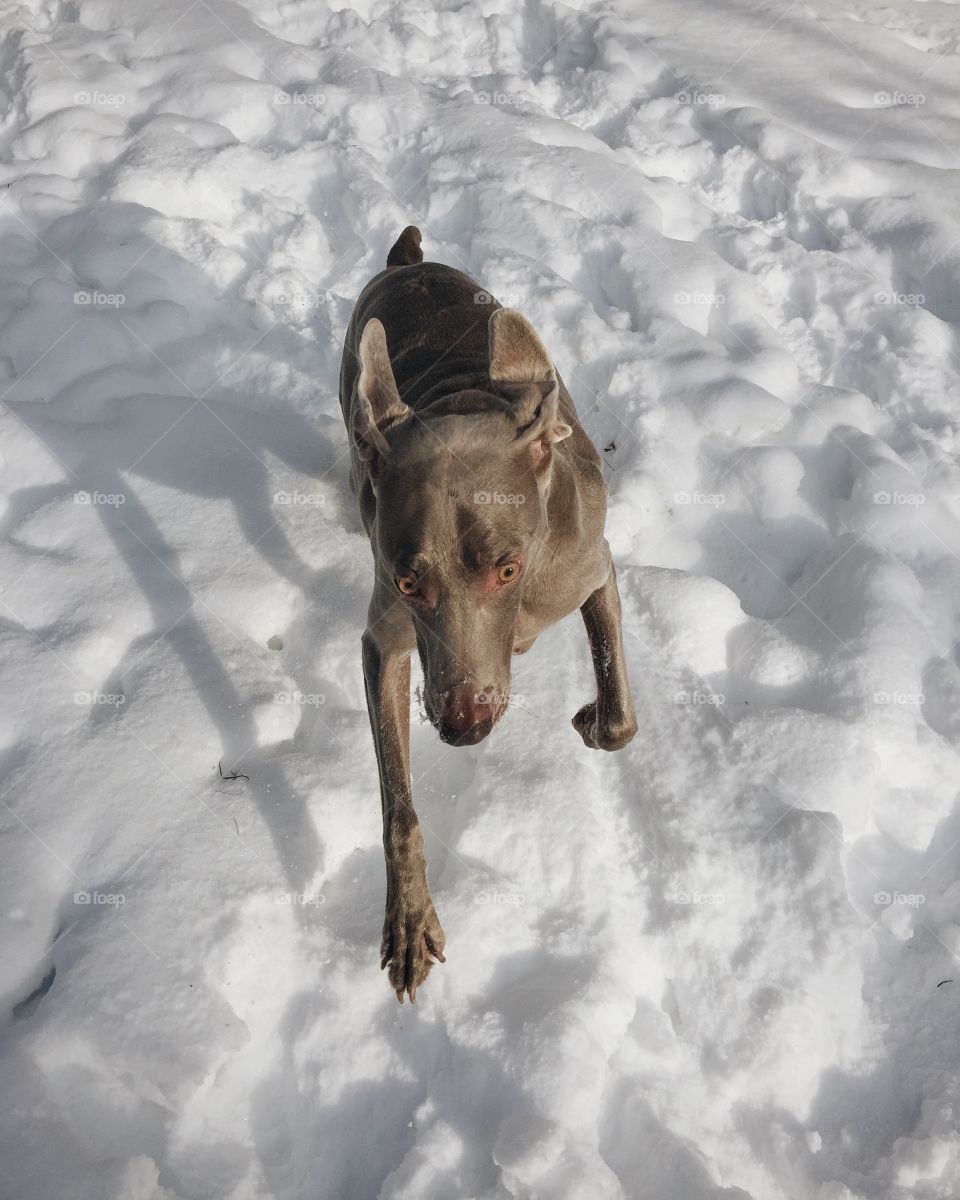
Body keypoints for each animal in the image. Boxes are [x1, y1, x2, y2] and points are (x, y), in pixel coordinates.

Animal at [338, 226, 638, 1003]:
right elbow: (398, 802)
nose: (464, 724)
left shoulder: (592, 568)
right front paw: (410, 922)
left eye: (507, 569)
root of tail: (407, 262)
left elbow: (621, 717)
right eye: (409, 582)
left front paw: (591, 718)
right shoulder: (386, 640)